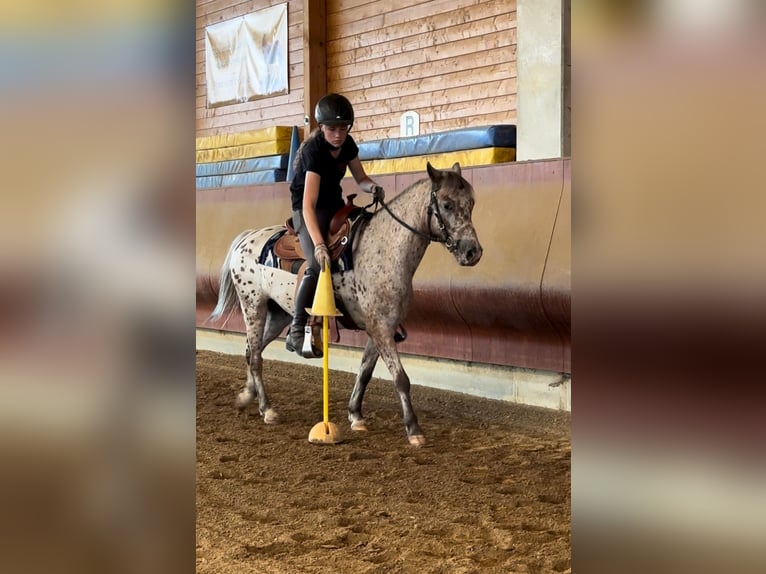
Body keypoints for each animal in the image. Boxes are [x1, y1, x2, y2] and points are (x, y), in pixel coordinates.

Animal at [208, 163, 486, 450]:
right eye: (447, 204)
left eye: (471, 203)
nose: (472, 252)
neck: (384, 249)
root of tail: (247, 238)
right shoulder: (381, 328)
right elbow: (401, 378)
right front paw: (414, 430)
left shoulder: (381, 329)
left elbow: (364, 372)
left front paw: (356, 416)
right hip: (253, 305)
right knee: (255, 356)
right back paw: (267, 409)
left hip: (278, 315)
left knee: (252, 351)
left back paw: (247, 396)